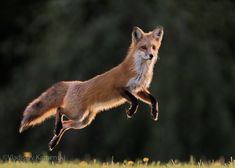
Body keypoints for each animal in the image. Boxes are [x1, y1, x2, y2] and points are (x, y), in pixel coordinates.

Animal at [18, 26, 163, 151]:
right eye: (143, 47)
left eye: (153, 47)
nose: (151, 55)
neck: (139, 71)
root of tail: (72, 84)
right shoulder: (119, 89)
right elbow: (135, 101)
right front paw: (131, 112)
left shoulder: (139, 89)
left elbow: (154, 99)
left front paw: (154, 113)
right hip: (77, 114)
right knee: (59, 110)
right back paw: (57, 128)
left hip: (83, 121)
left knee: (66, 125)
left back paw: (54, 141)